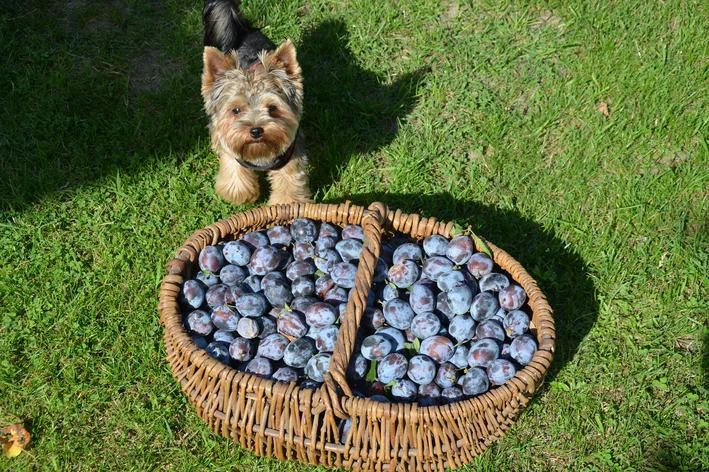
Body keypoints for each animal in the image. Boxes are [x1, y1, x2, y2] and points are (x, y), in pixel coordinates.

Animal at [199, 0, 310, 206]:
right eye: (235, 110)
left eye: (272, 108)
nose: (256, 130)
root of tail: (244, 30)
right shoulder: (230, 142)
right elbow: (233, 168)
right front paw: (243, 193)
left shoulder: (290, 152)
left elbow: (289, 179)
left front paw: (286, 205)